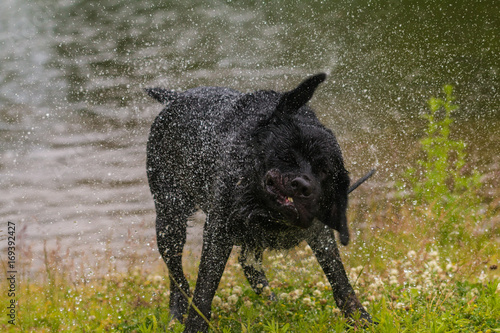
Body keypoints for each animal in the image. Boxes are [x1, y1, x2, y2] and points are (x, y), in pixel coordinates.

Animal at [145, 74, 372, 330]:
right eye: (287, 155)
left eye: (323, 170)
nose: (303, 185)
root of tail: (175, 97)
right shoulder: (218, 231)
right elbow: (204, 291)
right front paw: (194, 326)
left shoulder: (319, 232)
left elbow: (341, 280)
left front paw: (360, 318)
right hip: (169, 221)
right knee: (176, 274)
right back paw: (176, 313)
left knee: (246, 262)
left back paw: (272, 302)